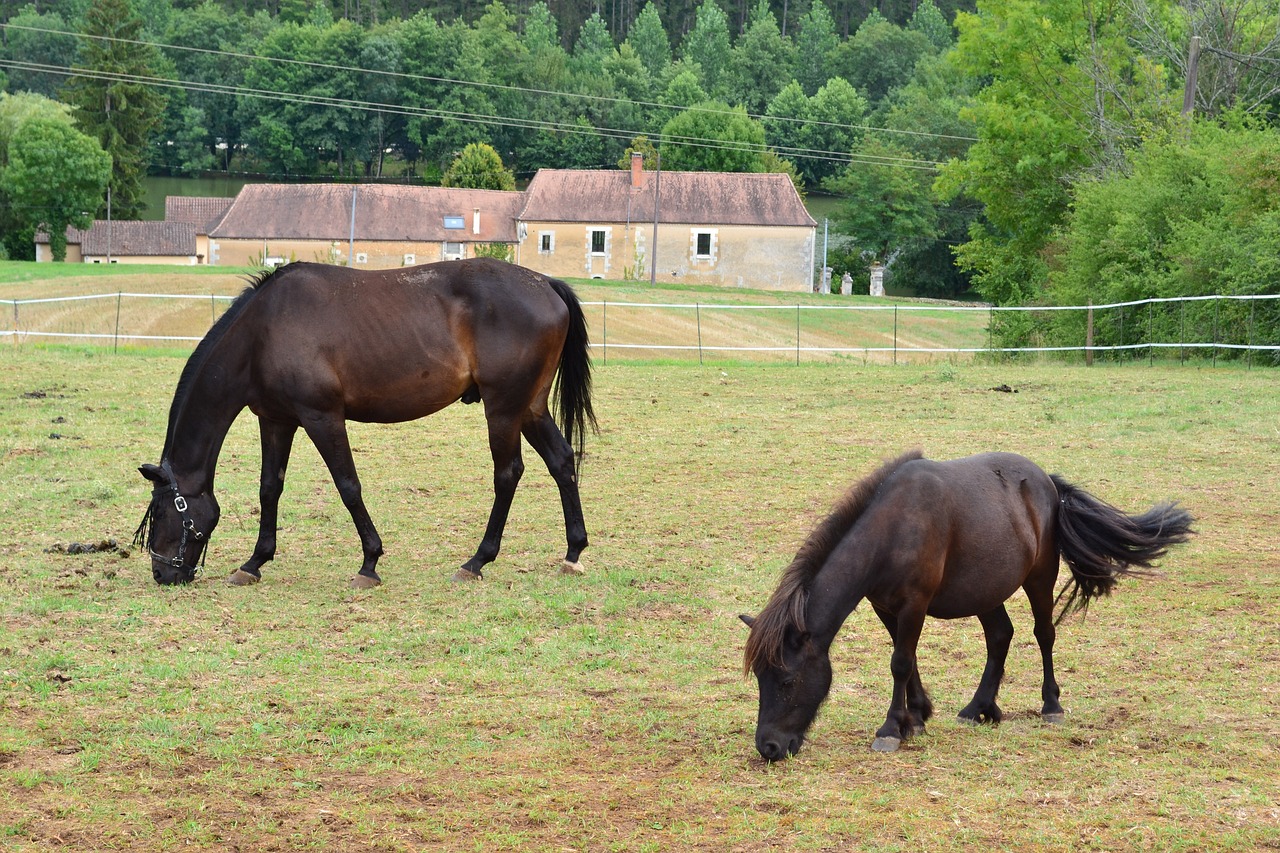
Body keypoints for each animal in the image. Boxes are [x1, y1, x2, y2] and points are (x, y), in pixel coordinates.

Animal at [137, 258, 596, 589]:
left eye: (161, 512)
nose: (162, 574)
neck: (263, 331)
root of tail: (546, 284)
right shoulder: (277, 420)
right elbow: (270, 488)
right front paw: (254, 562)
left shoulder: (322, 417)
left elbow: (347, 486)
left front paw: (369, 562)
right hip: (530, 409)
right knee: (561, 460)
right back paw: (573, 553)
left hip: (503, 409)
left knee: (508, 474)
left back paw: (477, 560)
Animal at [747, 448, 1192, 753]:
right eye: (759, 679)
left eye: (787, 680)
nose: (768, 747)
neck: (893, 528)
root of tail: (1047, 482)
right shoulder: (886, 607)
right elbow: (908, 660)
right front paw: (917, 716)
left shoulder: (914, 604)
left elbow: (900, 662)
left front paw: (892, 729)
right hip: (986, 590)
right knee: (1000, 636)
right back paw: (981, 707)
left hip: (1040, 578)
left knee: (1043, 634)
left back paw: (1050, 706)